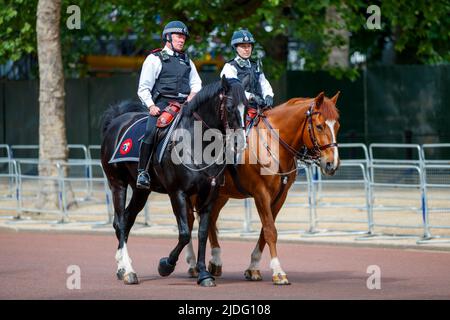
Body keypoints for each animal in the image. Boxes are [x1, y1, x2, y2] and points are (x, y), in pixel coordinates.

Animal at [101, 76, 246, 286]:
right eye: (229, 106)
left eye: (248, 107)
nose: (240, 142)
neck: (195, 143)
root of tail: (117, 120)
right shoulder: (177, 193)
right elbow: (184, 233)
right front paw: (166, 265)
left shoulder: (208, 195)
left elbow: (202, 234)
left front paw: (204, 274)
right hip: (117, 184)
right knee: (120, 222)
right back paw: (128, 271)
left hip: (141, 191)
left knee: (127, 220)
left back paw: (122, 267)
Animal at [185, 90, 340, 284]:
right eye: (319, 126)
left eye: (337, 126)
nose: (332, 164)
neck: (272, 144)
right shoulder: (261, 194)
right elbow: (270, 231)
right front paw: (278, 272)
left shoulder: (280, 197)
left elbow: (264, 231)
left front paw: (253, 267)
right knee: (189, 220)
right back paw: (193, 263)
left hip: (221, 194)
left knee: (210, 220)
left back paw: (216, 260)